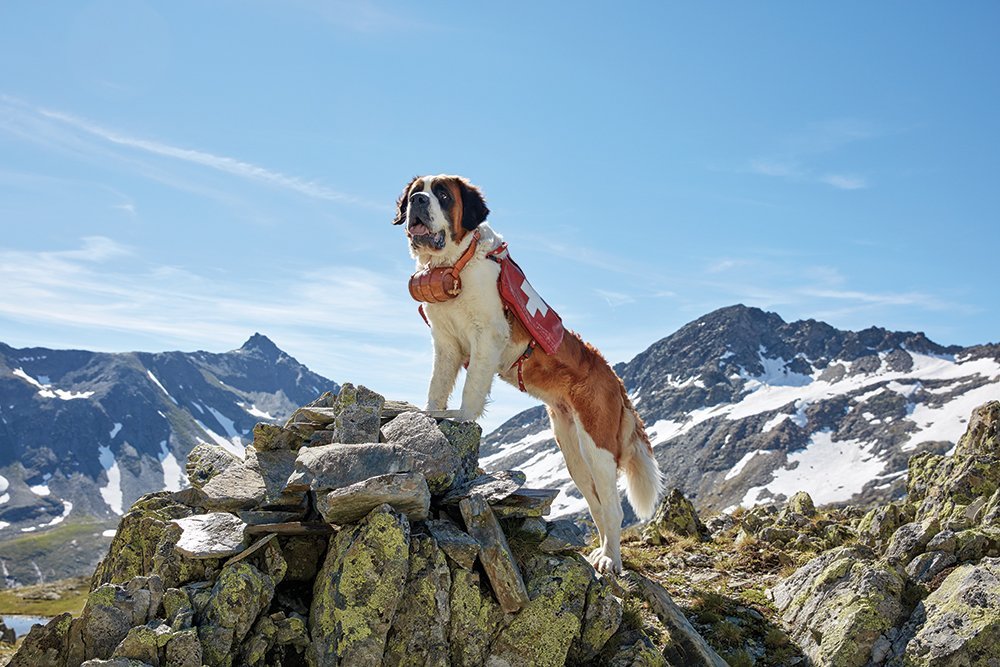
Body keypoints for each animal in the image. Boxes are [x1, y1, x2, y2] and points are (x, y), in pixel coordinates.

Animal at [392, 174, 664, 576]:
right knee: (598, 506)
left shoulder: (487, 335)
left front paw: (460, 417)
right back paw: (599, 552)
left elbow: (471, 389)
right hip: (572, 451)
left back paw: (610, 561)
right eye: (416, 192)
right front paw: (430, 413)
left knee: (613, 509)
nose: (419, 202)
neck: (455, 263)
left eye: (442, 194)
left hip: (596, 445)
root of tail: (615, 380)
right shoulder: (445, 343)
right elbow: (438, 385)